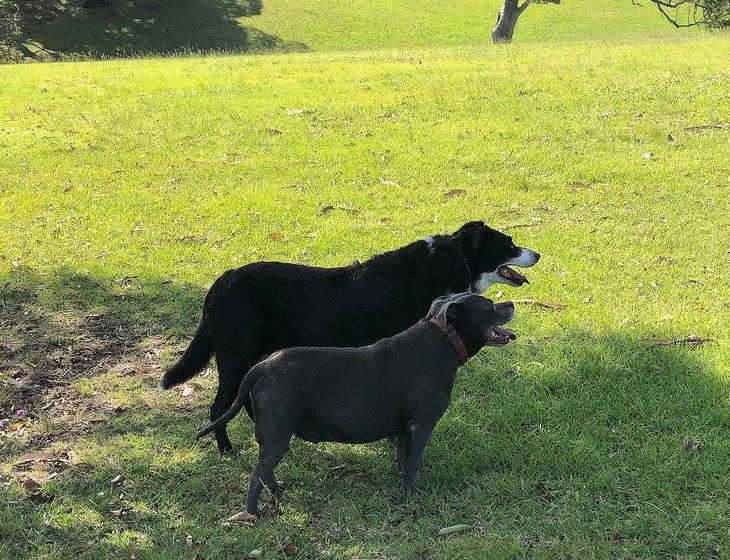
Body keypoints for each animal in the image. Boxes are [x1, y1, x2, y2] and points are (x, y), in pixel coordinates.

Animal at [161, 221, 536, 452]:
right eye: (509, 244)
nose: (538, 253)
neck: (445, 262)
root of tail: (221, 282)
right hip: (236, 354)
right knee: (220, 406)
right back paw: (227, 450)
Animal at [196, 294, 516, 516]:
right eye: (489, 306)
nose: (511, 303)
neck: (445, 338)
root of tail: (261, 367)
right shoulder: (422, 426)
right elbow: (414, 462)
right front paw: (412, 492)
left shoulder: (404, 430)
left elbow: (403, 459)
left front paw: (402, 481)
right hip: (277, 436)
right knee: (256, 476)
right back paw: (252, 515)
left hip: (276, 438)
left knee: (264, 473)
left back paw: (276, 491)